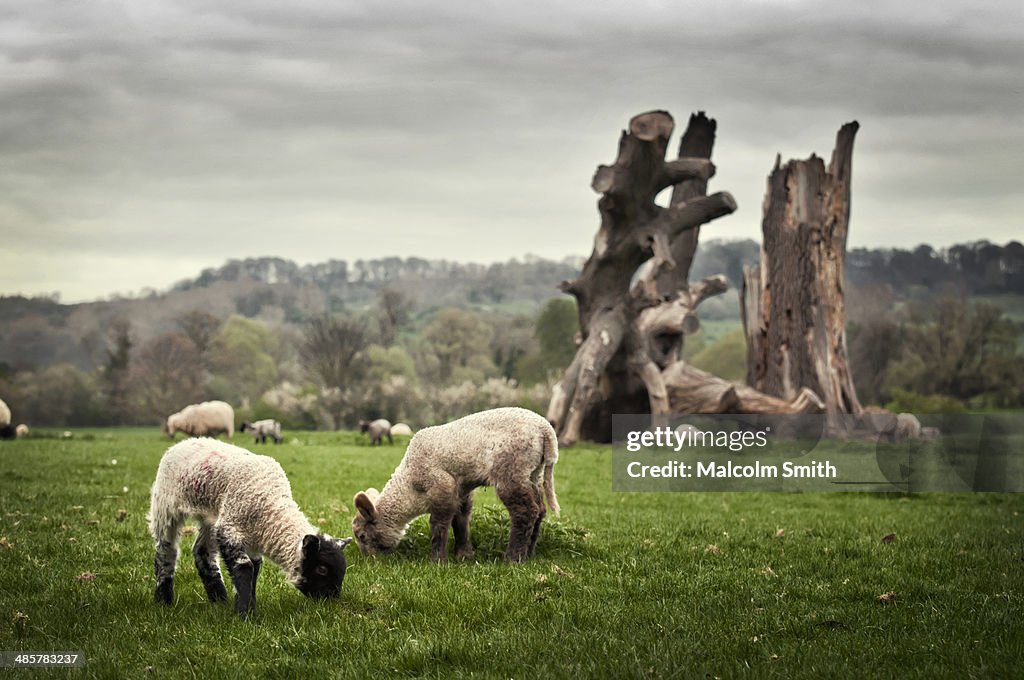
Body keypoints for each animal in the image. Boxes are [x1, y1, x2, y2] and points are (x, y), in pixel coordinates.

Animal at [144, 438, 352, 618]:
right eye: (322, 569)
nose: (331, 601)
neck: (272, 506)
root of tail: (183, 442)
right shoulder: (229, 527)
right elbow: (244, 567)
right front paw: (244, 614)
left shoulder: (252, 539)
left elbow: (255, 569)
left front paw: (250, 606)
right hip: (165, 506)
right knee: (166, 551)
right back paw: (163, 598)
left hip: (211, 517)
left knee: (202, 552)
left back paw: (219, 599)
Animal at [352, 405, 561, 561]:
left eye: (362, 536)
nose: (370, 560)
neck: (410, 485)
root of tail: (546, 430)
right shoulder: (461, 488)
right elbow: (460, 519)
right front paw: (464, 555)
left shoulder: (440, 483)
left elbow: (439, 523)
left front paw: (437, 560)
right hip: (533, 473)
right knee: (540, 509)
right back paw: (529, 554)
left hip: (511, 471)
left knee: (525, 511)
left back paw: (513, 558)